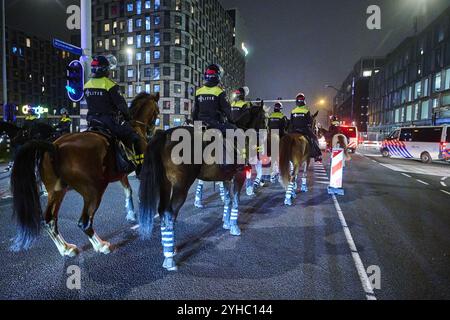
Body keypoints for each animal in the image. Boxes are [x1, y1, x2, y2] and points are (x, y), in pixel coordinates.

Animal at [9, 92, 162, 255]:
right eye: (157, 111)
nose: (152, 130)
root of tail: (55, 146)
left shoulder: (121, 174)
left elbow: (128, 191)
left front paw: (131, 213)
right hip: (94, 191)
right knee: (84, 221)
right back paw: (101, 245)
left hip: (57, 191)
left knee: (49, 220)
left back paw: (66, 248)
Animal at [137, 105, 268, 270]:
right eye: (264, 118)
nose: (265, 137)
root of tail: (164, 134)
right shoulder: (239, 175)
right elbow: (236, 201)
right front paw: (234, 226)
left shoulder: (225, 178)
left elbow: (228, 200)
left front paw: (226, 223)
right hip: (181, 187)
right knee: (170, 213)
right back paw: (169, 258)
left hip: (165, 185)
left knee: (162, 212)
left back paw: (169, 245)